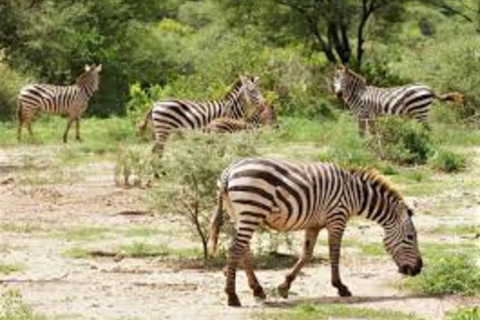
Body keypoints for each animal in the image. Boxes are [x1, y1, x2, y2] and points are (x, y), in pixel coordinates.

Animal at [138, 75, 266, 155]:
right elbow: (221, 151)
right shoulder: (221, 131)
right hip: (163, 130)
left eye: (260, 90)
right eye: (252, 91)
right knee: (157, 151)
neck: (231, 108)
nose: (264, 105)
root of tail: (155, 104)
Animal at [208, 158, 422, 308]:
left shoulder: (315, 224)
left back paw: (258, 290)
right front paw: (341, 287)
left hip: (239, 214)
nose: (418, 269)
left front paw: (285, 286)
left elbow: (306, 254)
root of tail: (228, 172)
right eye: (410, 237)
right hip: (251, 209)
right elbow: (335, 253)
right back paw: (232, 296)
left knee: (243, 249)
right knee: (235, 249)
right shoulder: (337, 218)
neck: (355, 194)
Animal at [332, 65, 464, 135]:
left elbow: (362, 133)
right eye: (334, 81)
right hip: (421, 112)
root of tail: (429, 89)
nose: (338, 94)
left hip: (420, 111)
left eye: (344, 81)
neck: (359, 95)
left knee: (429, 130)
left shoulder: (363, 114)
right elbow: (372, 133)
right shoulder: (370, 116)